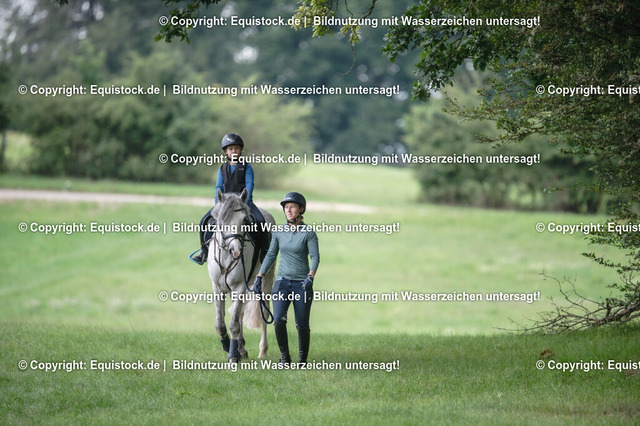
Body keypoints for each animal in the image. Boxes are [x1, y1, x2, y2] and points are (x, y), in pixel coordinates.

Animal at [207, 188, 275, 363]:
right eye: (222, 220)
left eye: (244, 219)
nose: (236, 251)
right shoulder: (218, 288)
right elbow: (221, 324)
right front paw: (229, 347)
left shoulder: (239, 287)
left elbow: (233, 325)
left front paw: (232, 356)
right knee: (241, 313)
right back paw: (242, 348)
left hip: (265, 281)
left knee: (263, 312)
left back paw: (262, 350)